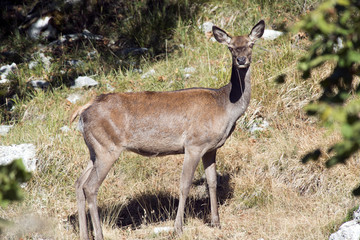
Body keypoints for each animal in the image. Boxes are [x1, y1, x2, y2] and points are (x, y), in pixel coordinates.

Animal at [71, 19, 266, 239]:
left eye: (251, 44)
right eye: (231, 47)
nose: (241, 60)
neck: (225, 106)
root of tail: (84, 110)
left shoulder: (212, 148)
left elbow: (212, 182)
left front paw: (216, 222)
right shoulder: (194, 144)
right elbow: (184, 184)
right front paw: (178, 227)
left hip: (94, 149)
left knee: (79, 183)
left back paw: (84, 234)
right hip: (107, 148)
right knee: (90, 186)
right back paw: (99, 234)